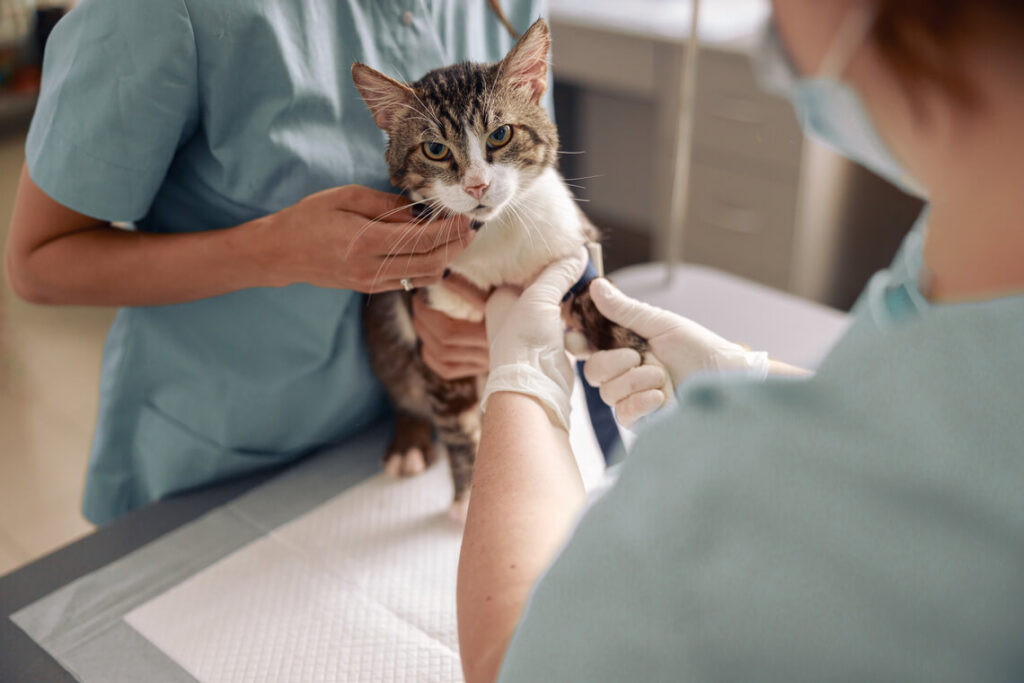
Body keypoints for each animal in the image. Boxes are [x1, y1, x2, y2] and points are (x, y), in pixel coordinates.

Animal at [348, 17, 643, 518]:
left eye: (501, 135)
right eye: (434, 148)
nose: (477, 185)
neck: (497, 228)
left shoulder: (573, 243)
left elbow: (600, 301)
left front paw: (645, 361)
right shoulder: (433, 317)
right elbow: (454, 418)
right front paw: (468, 494)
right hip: (383, 324)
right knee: (400, 379)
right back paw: (409, 440)